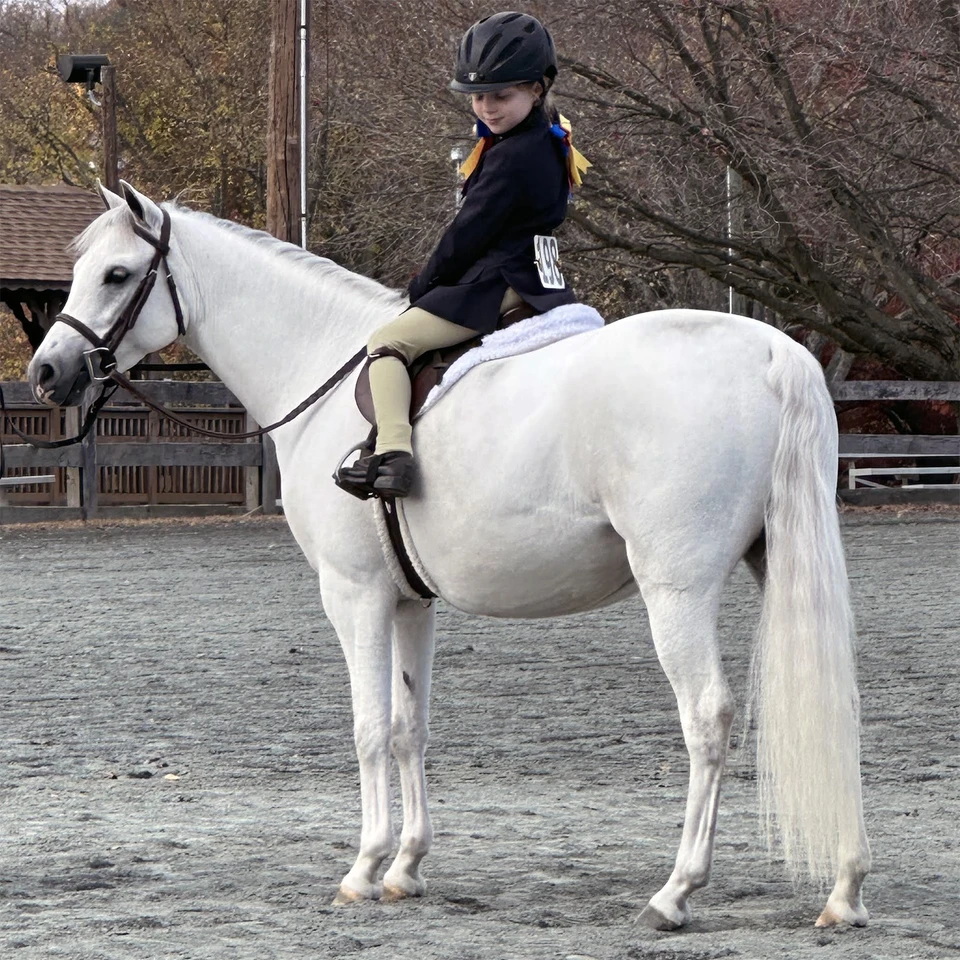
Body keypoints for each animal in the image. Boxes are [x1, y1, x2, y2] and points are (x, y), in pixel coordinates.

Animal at [26, 182, 870, 931]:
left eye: (116, 274)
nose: (45, 371)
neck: (318, 363)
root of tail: (771, 352)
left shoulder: (356, 595)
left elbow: (369, 728)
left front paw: (364, 869)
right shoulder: (409, 601)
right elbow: (409, 727)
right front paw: (406, 867)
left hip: (676, 590)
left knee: (706, 718)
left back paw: (676, 892)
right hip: (775, 565)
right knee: (836, 699)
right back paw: (844, 889)